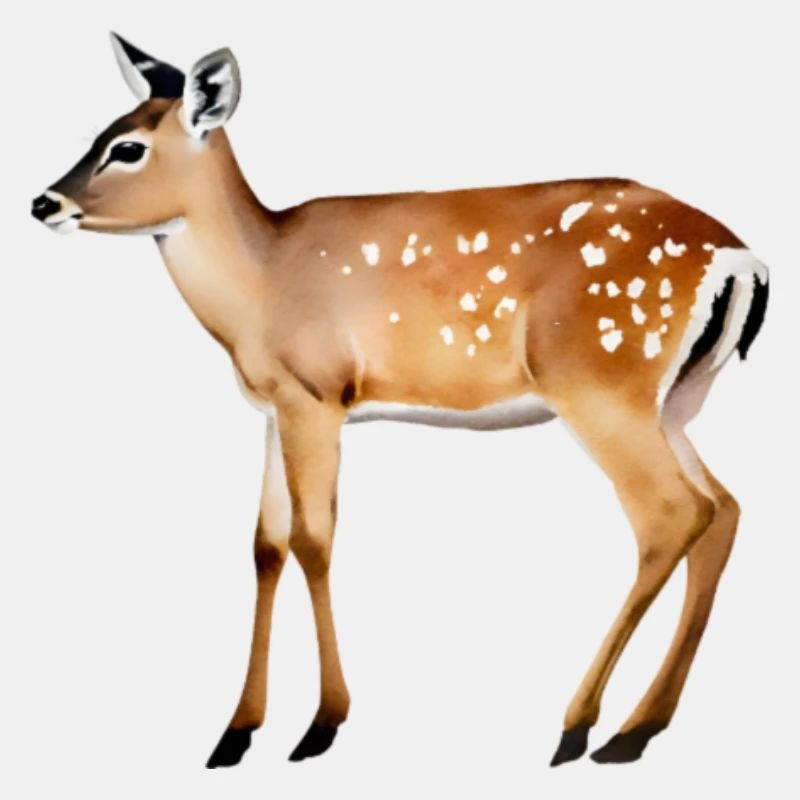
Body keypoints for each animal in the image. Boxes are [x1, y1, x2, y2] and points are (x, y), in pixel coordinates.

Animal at [31, 33, 769, 769]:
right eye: (100, 133)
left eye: (128, 147)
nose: (43, 203)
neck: (258, 284)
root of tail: (745, 260)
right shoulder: (273, 407)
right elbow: (265, 544)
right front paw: (235, 734)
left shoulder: (316, 393)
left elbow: (314, 539)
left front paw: (321, 724)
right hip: (674, 399)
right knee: (723, 509)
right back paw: (639, 728)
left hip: (600, 383)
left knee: (671, 514)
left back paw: (580, 727)